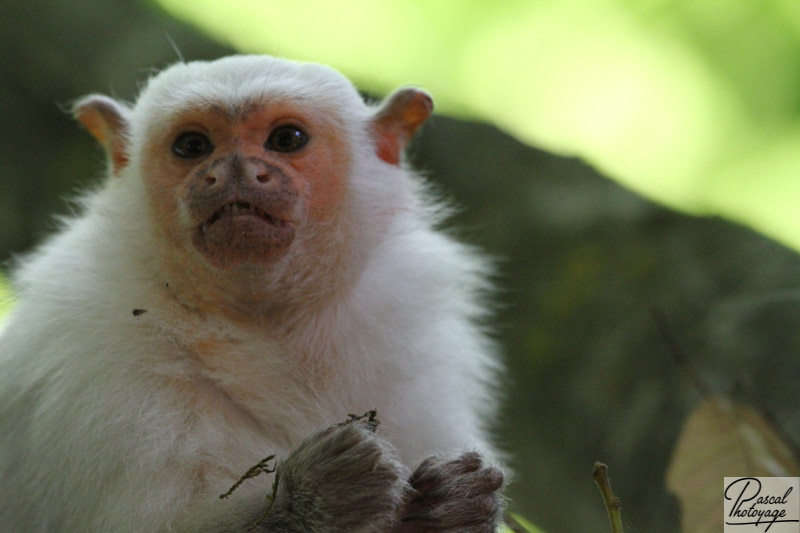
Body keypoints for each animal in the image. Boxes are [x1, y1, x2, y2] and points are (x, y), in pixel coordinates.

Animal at [0, 56, 504, 528]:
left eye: (287, 139)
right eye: (193, 146)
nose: (236, 171)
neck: (260, 327)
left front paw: (454, 505)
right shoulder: (96, 366)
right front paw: (319, 497)